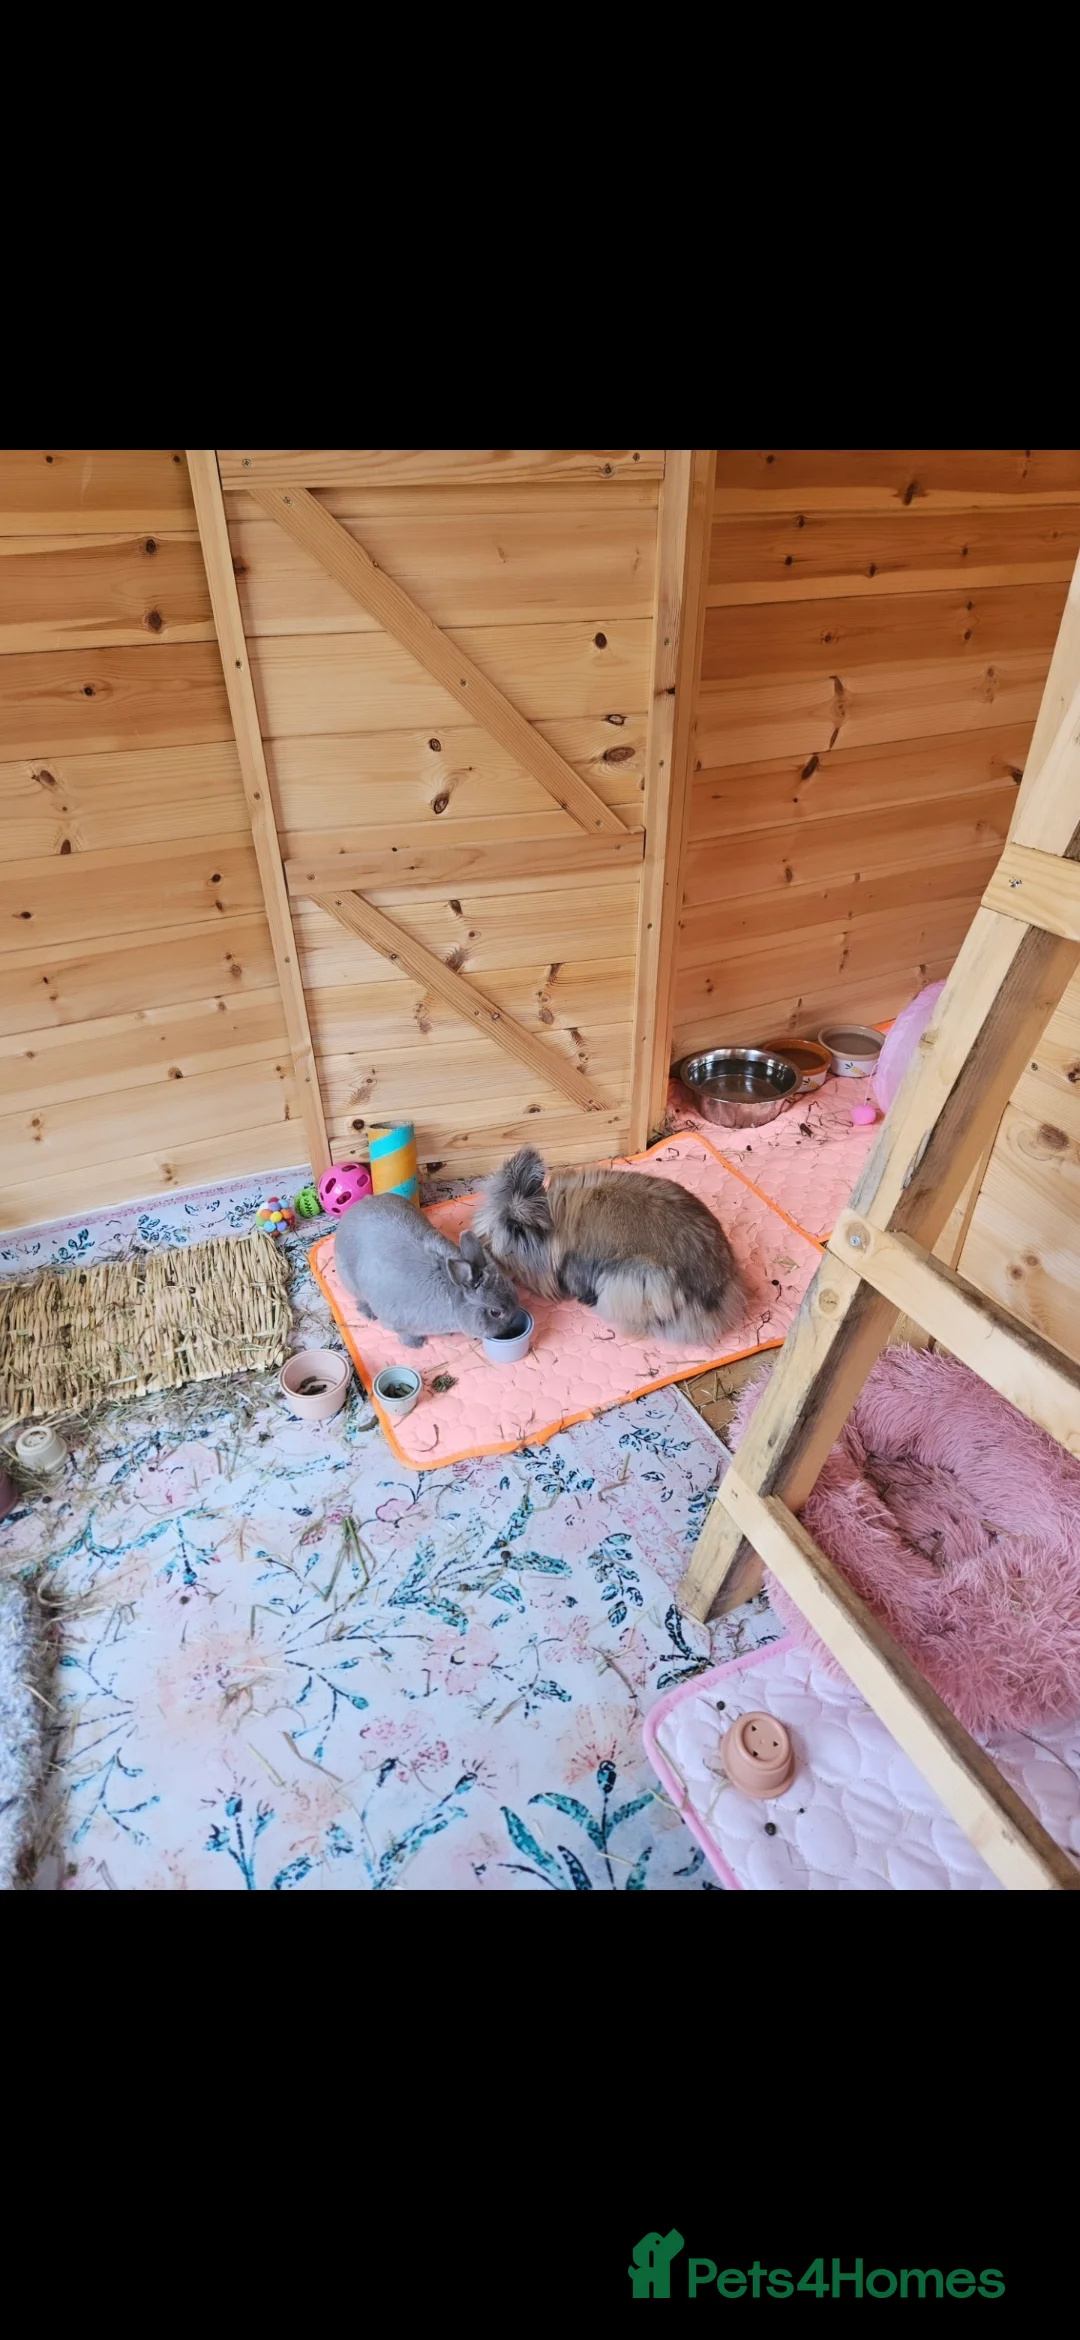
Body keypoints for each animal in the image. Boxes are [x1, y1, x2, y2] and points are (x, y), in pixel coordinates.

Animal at [333, 1192, 523, 1349]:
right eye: (495, 1312)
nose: (513, 1321)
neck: (453, 1295)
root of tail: (356, 1208)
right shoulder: (396, 1322)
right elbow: (403, 1334)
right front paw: (416, 1344)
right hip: (350, 1281)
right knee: (359, 1299)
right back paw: (368, 1314)